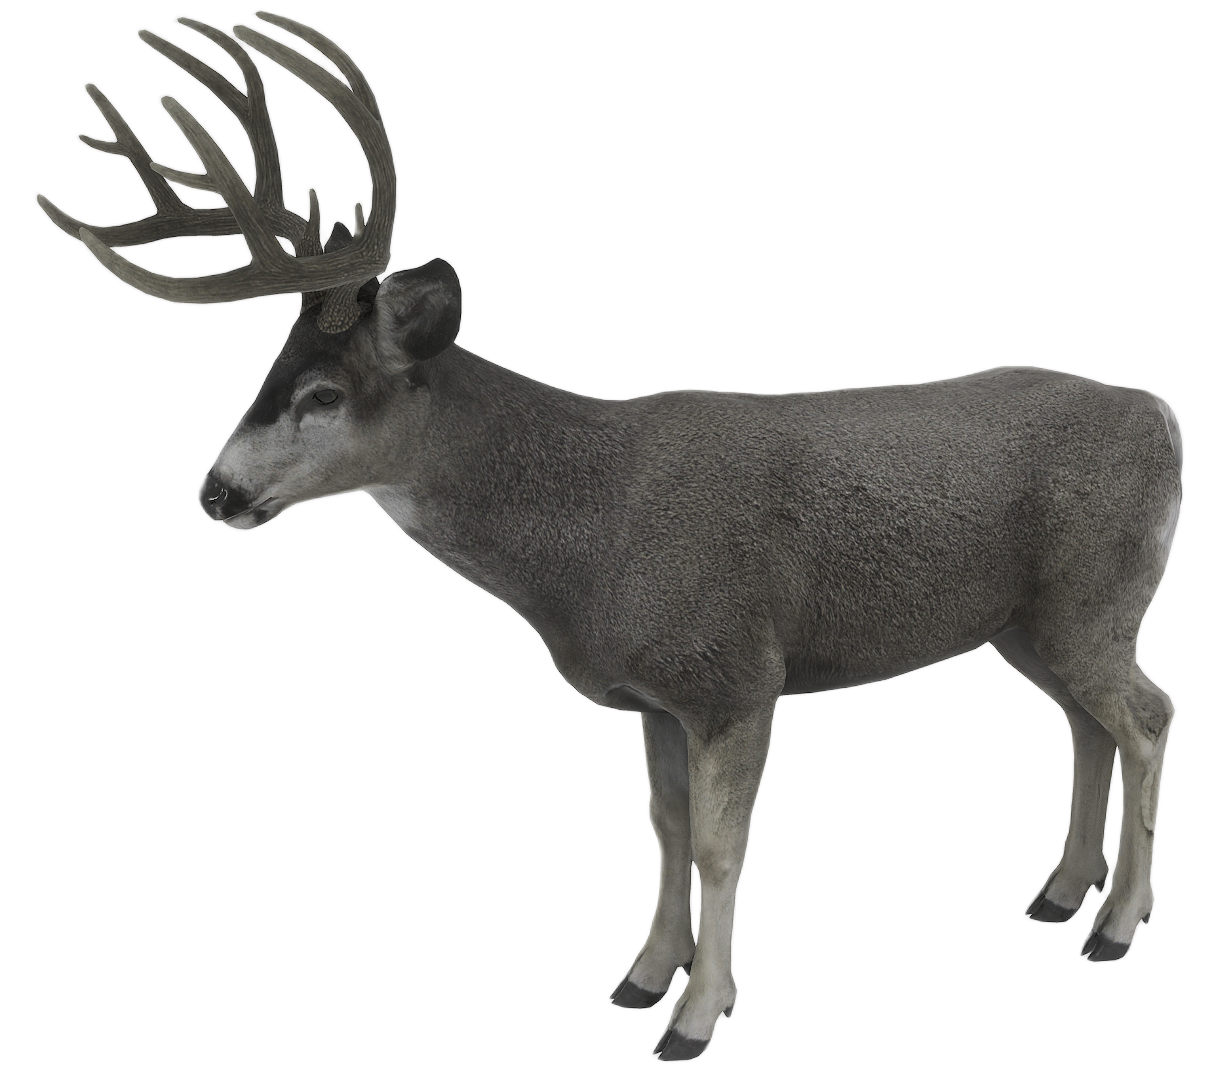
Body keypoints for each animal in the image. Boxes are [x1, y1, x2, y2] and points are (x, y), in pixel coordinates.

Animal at [34, 9, 1185, 1064]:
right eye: (267, 375)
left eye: (322, 394)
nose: (215, 493)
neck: (588, 543)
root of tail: (1164, 415)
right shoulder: (654, 696)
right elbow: (663, 830)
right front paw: (639, 979)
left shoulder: (736, 674)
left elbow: (722, 847)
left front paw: (696, 1017)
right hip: (1029, 621)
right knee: (1088, 721)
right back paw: (1060, 895)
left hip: (1095, 596)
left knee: (1149, 714)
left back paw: (1116, 927)